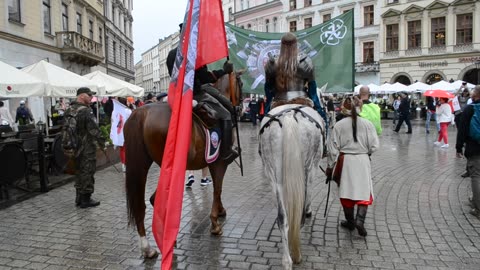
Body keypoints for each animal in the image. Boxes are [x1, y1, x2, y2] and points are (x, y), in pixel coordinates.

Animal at [124, 71, 244, 258]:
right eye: (242, 84)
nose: (241, 108)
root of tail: (141, 112)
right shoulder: (219, 162)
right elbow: (218, 188)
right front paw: (215, 223)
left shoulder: (212, 162)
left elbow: (217, 188)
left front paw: (220, 211)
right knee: (155, 199)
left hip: (142, 164)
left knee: (142, 204)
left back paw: (149, 247)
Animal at [260, 104, 324, 268]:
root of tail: (289, 115)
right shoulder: (313, 168)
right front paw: (308, 211)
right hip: (308, 167)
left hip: (273, 174)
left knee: (282, 218)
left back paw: (287, 260)